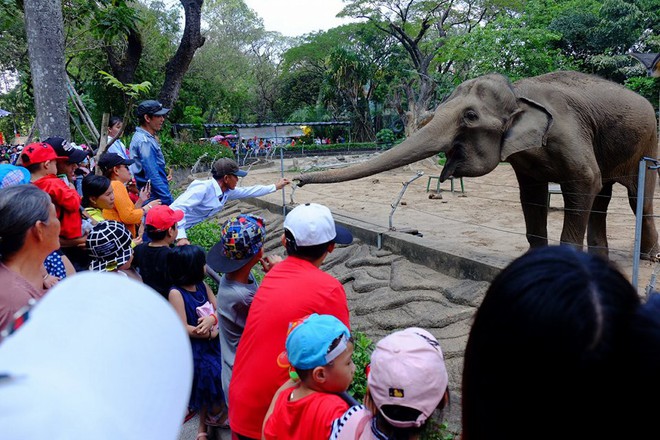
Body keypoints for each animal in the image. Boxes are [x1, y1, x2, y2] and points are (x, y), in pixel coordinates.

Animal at [296, 70, 660, 260]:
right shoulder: (526, 160)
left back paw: (647, 258)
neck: (518, 90)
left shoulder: (567, 134)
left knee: (636, 198)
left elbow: (585, 181)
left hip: (650, 142)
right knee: (604, 195)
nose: (298, 182)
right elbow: (532, 197)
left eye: (470, 116)